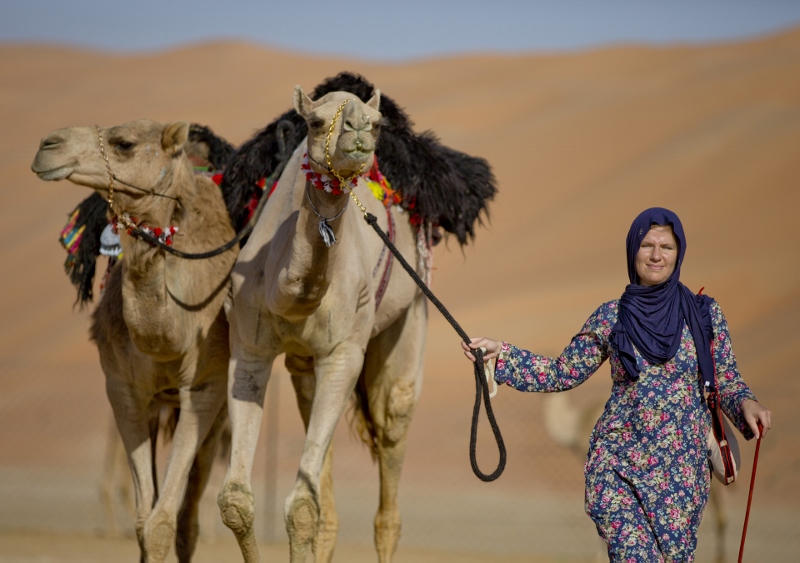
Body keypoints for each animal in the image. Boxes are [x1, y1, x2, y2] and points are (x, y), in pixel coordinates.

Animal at [32, 120, 238, 563]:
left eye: (123, 144)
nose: (47, 145)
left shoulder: (204, 389)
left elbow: (164, 522)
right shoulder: (123, 390)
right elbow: (146, 521)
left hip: (217, 415)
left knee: (189, 518)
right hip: (157, 405)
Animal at [216, 75, 496, 563]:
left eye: (378, 123)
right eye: (314, 121)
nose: (360, 129)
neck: (288, 290)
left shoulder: (344, 352)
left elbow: (302, 505)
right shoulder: (248, 351)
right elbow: (238, 501)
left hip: (411, 312)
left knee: (392, 449)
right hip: (305, 367)